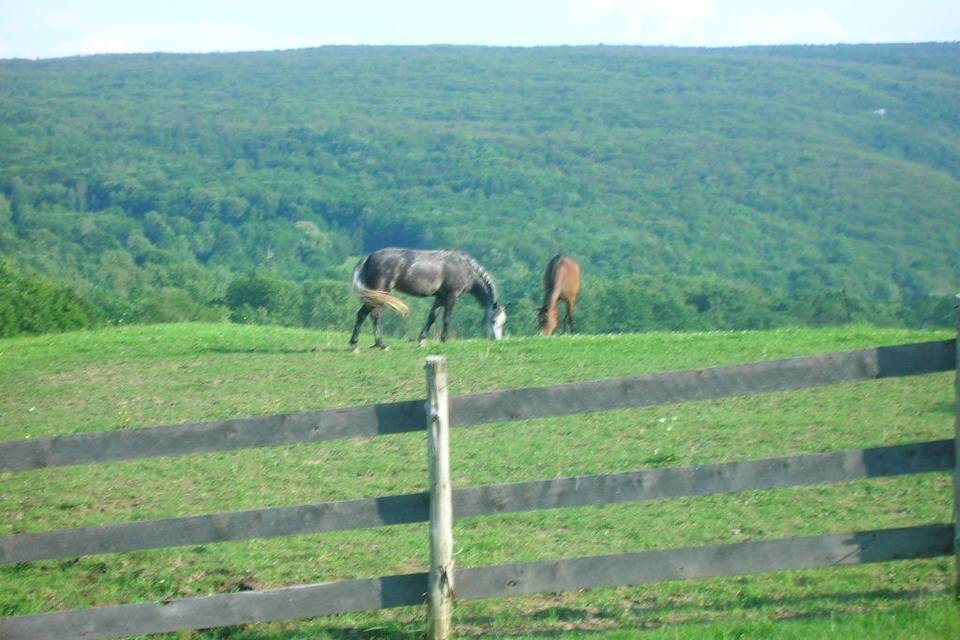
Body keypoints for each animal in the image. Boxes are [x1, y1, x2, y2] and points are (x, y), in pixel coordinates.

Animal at [348, 249, 506, 350]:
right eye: (493, 321)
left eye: (503, 322)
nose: (496, 339)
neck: (465, 267)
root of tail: (368, 258)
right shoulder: (451, 296)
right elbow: (447, 319)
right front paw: (444, 339)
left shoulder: (440, 297)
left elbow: (432, 317)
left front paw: (422, 340)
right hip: (381, 293)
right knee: (373, 315)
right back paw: (379, 344)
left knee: (364, 314)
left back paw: (357, 343)